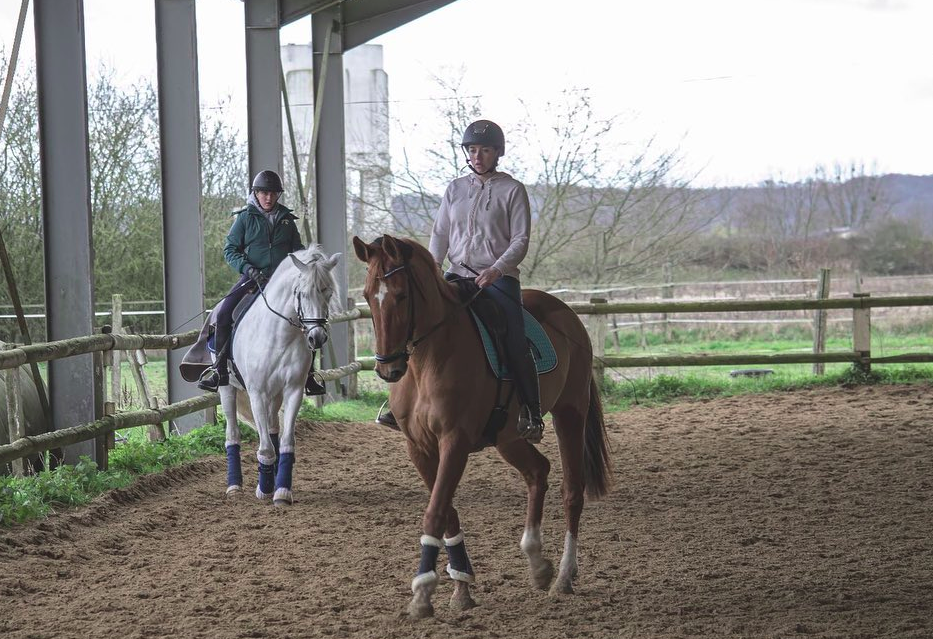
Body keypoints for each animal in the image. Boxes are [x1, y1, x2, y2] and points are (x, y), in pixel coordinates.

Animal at [219, 248, 342, 508]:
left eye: (328, 292)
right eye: (302, 293)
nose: (317, 337)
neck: (280, 335)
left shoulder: (293, 390)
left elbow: (285, 442)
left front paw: (282, 491)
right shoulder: (257, 393)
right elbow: (265, 448)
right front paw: (264, 489)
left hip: (275, 395)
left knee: (273, 427)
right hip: (228, 389)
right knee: (232, 433)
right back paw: (234, 487)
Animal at [352, 236, 612, 620]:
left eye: (400, 295)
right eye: (369, 295)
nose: (388, 369)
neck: (428, 360)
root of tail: (567, 313)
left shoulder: (454, 442)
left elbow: (435, 512)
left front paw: (422, 592)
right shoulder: (419, 447)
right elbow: (447, 511)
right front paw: (461, 588)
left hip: (570, 413)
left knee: (572, 491)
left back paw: (564, 576)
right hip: (508, 437)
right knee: (538, 471)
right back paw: (537, 563)